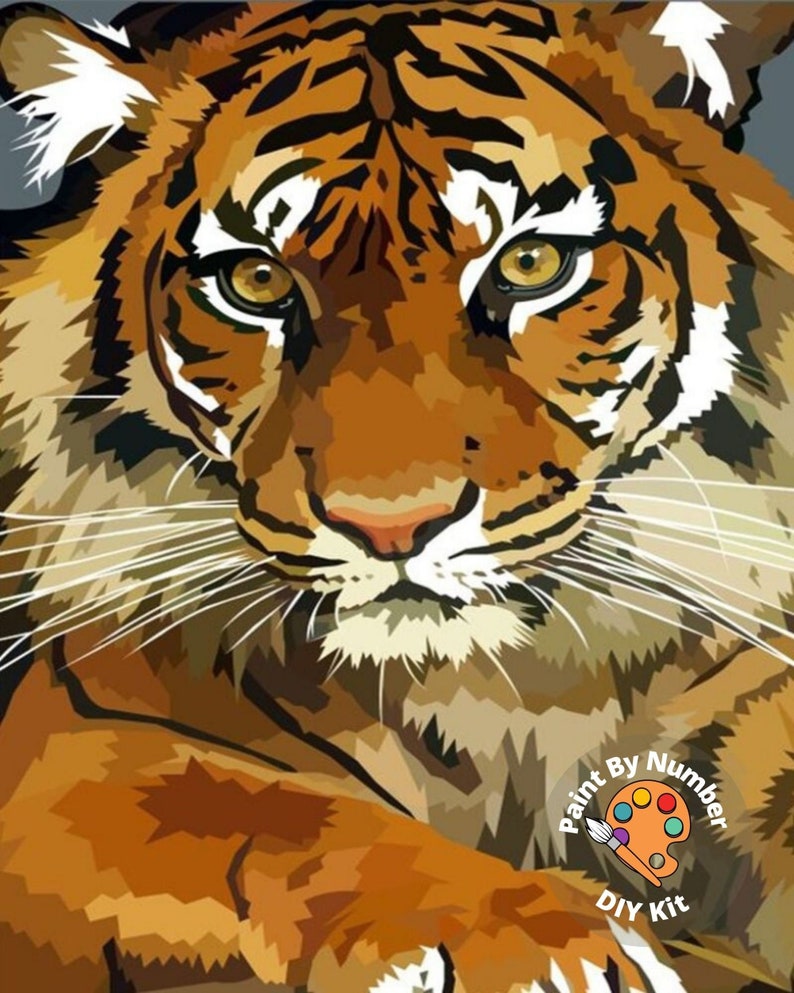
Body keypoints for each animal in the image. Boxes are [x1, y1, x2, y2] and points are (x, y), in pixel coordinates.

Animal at [1, 1, 793, 991]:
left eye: (532, 263)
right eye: (256, 280)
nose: (391, 526)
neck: (510, 692)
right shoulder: (73, 741)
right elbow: (274, 807)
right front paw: (529, 940)